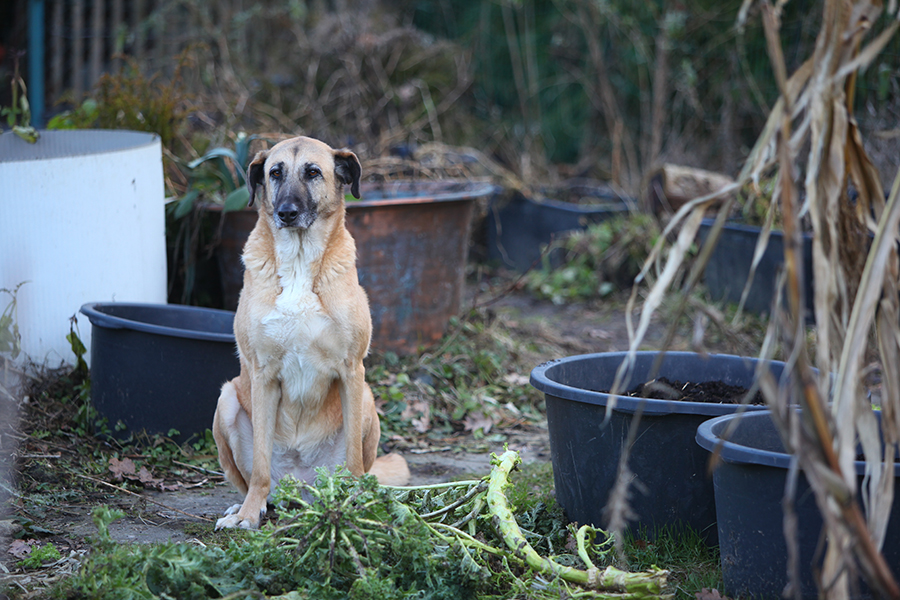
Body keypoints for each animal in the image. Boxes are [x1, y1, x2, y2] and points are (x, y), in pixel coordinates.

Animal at [213, 136, 410, 528]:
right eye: (275, 173)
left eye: (313, 173)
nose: (286, 213)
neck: (300, 260)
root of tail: (300, 486)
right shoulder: (262, 374)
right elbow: (260, 468)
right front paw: (248, 515)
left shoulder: (351, 370)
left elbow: (353, 461)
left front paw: (357, 507)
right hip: (226, 399)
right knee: (253, 481)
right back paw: (248, 506)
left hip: (366, 397)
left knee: (358, 468)